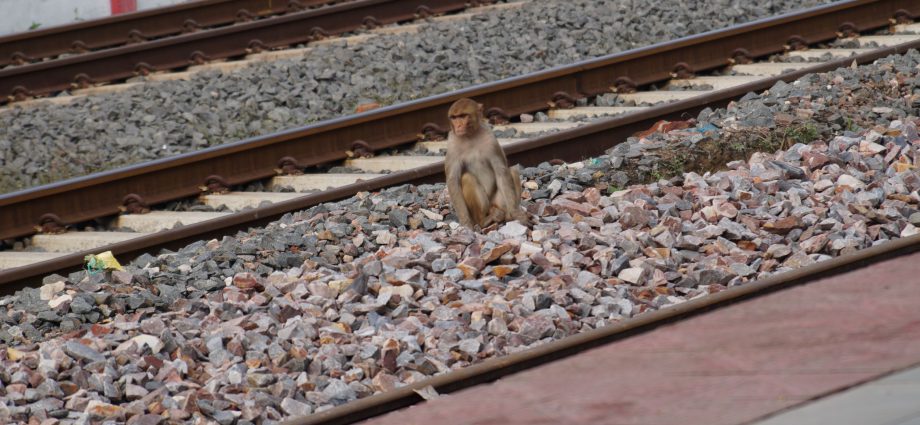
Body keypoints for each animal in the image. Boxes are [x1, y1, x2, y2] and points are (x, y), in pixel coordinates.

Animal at [444, 97, 528, 229]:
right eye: (454, 117)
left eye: (463, 116)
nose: (458, 125)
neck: (471, 136)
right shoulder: (452, 145)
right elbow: (453, 181)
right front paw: (466, 224)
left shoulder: (491, 141)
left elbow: (501, 171)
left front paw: (516, 214)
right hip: (483, 209)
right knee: (467, 178)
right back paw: (484, 220)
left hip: (497, 202)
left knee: (512, 170)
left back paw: (508, 215)